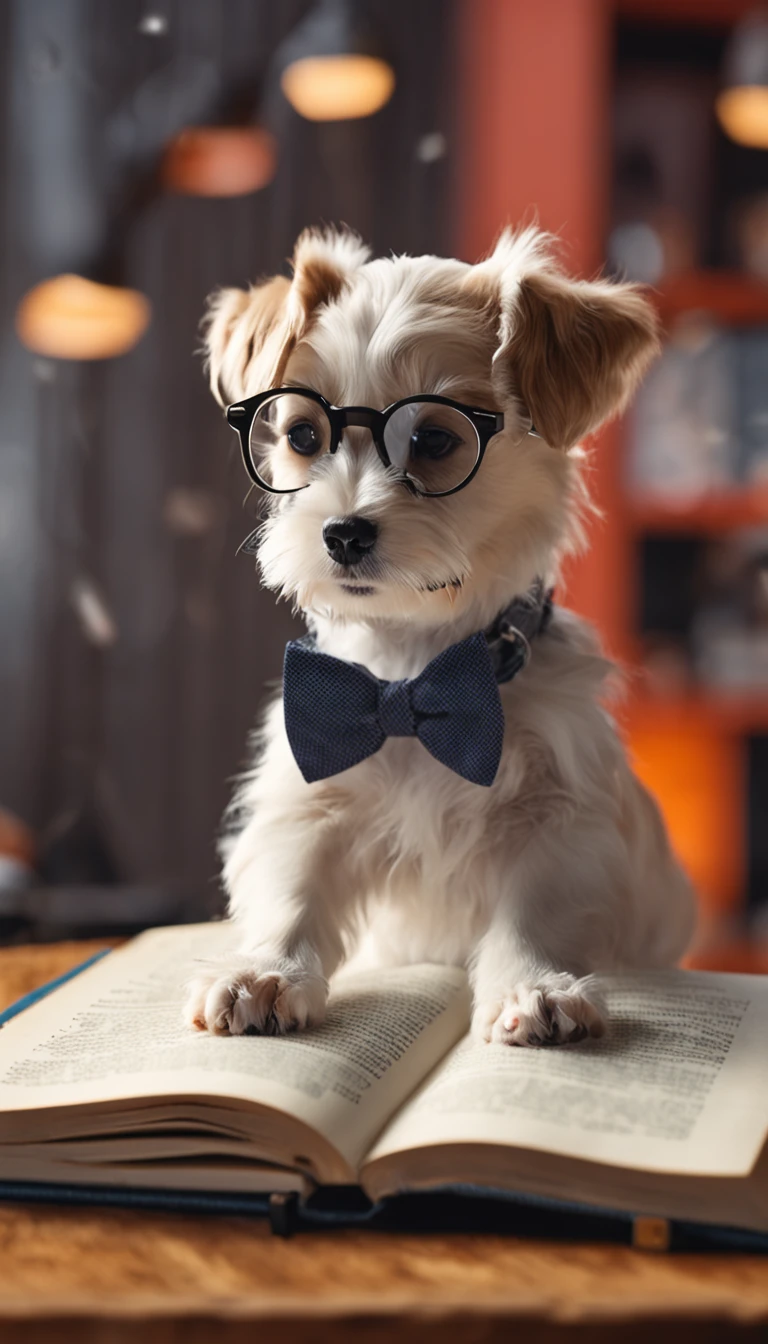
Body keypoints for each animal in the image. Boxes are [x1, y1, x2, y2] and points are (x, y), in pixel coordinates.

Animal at [186, 225, 699, 1048]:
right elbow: (291, 892)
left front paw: (534, 987)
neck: (412, 675)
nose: (342, 532)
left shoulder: (560, 819)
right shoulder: (313, 790)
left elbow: (534, 911)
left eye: (431, 440)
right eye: (302, 435)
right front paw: (265, 970)